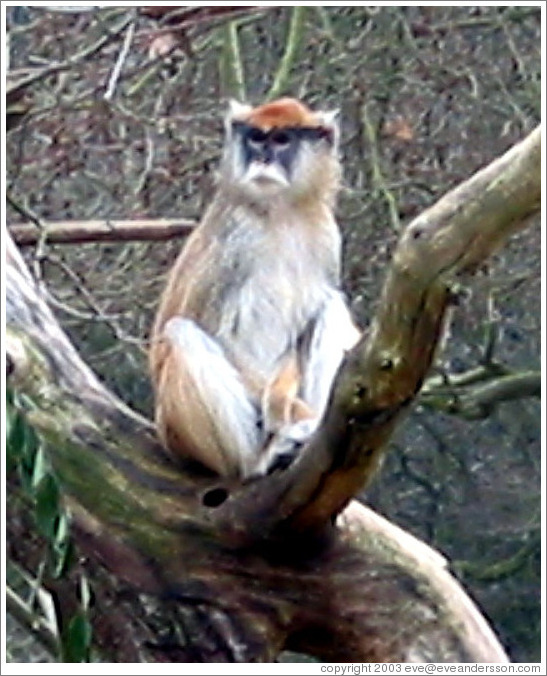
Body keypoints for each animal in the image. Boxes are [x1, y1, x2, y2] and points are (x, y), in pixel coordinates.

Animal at [150, 97, 362, 480]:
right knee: (181, 333)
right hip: (181, 434)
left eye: (281, 140)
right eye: (256, 138)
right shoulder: (236, 239)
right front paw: (298, 415)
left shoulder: (327, 236)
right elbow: (218, 335)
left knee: (331, 307)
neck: (280, 213)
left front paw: (292, 409)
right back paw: (256, 461)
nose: (262, 158)